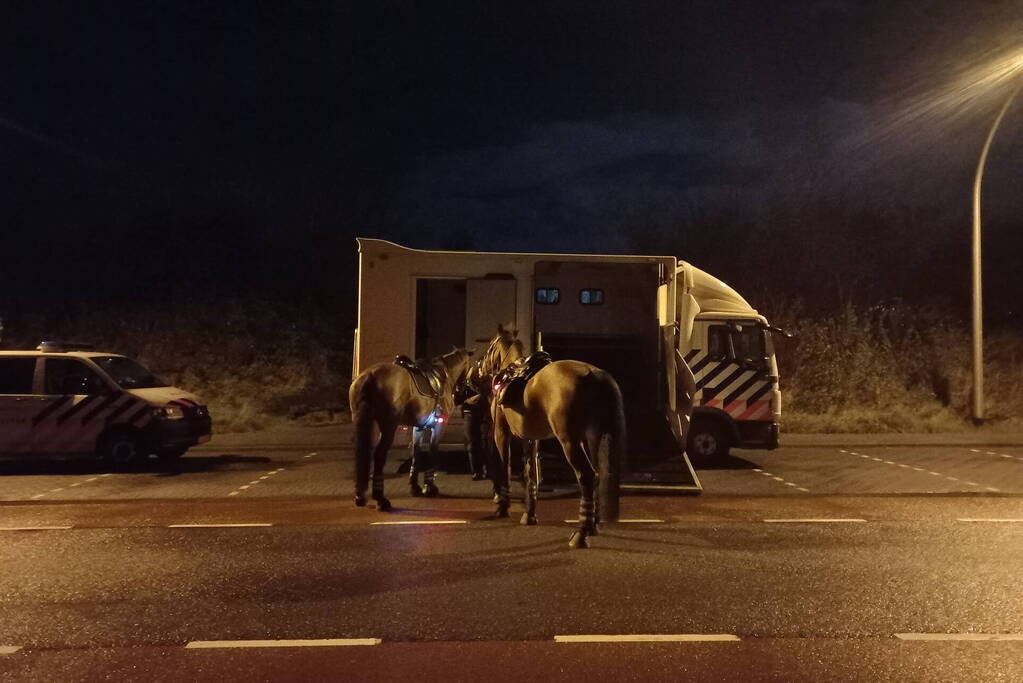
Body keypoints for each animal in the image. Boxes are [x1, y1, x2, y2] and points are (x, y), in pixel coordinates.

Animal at [349, 349, 472, 509]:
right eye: (471, 366)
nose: (462, 391)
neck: (444, 376)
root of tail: (370, 375)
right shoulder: (438, 425)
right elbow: (432, 451)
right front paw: (429, 487)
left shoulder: (418, 428)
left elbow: (416, 452)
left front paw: (415, 487)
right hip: (388, 426)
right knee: (379, 455)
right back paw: (381, 499)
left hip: (366, 422)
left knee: (365, 451)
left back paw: (360, 495)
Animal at [478, 325, 621, 548]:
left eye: (491, 346)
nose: (479, 367)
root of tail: (594, 374)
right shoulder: (530, 438)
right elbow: (531, 475)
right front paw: (529, 515)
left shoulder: (501, 433)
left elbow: (504, 468)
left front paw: (502, 506)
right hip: (592, 439)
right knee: (597, 474)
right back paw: (593, 523)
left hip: (570, 441)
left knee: (587, 475)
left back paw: (582, 532)